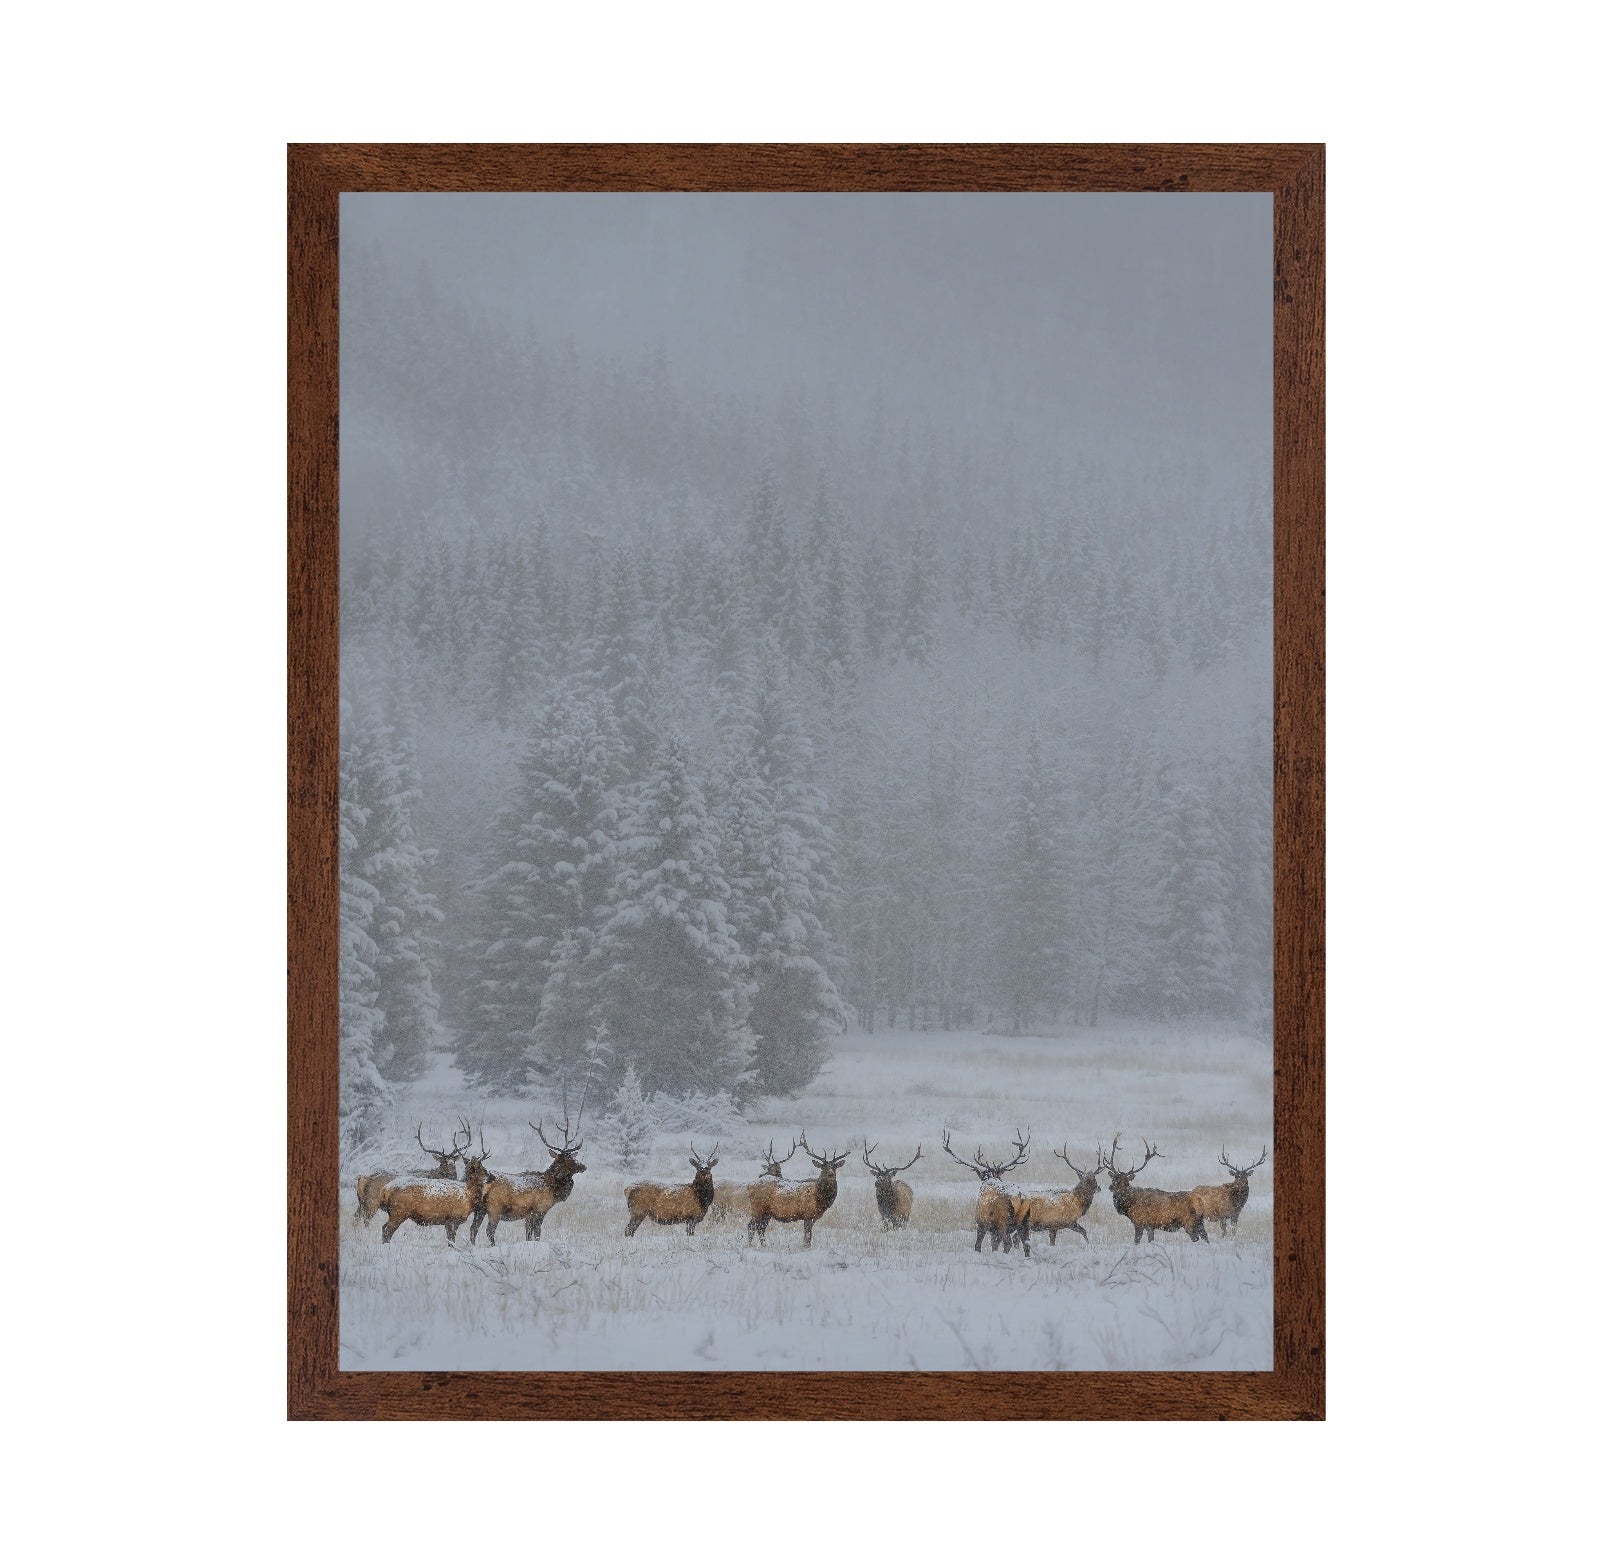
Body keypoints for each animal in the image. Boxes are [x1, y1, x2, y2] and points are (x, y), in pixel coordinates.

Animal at [469, 1104, 589, 1245]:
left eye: (574, 1157)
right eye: (566, 1160)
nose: (583, 1166)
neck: (553, 1189)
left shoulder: (529, 1214)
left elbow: (528, 1234)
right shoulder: (540, 1209)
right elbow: (537, 1234)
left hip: (480, 1209)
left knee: (473, 1229)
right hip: (495, 1209)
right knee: (489, 1231)